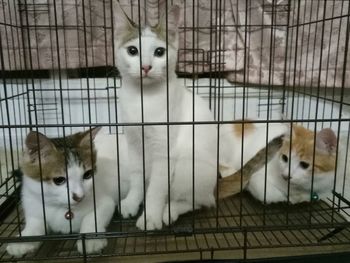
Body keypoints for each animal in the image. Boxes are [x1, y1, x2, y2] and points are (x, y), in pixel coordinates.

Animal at [5, 128, 129, 258]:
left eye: (87, 174)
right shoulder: (33, 203)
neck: (61, 207)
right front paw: (23, 239)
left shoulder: (105, 201)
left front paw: (90, 239)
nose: (79, 196)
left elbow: (93, 217)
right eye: (59, 180)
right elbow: (34, 224)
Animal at [115, 4, 219, 231]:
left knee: (196, 201)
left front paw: (150, 216)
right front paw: (132, 201)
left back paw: (168, 211)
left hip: (187, 166)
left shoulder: (164, 151)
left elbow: (156, 188)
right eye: (132, 51)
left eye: (159, 52)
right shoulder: (133, 142)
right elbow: (137, 175)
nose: (146, 67)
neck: (142, 99)